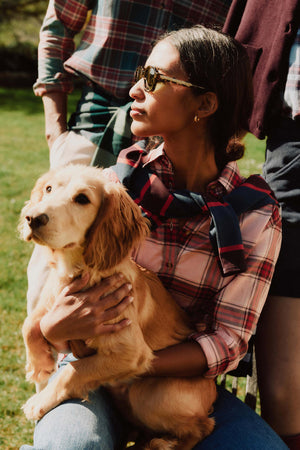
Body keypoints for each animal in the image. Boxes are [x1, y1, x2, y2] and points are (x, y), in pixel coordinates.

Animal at [18, 165, 217, 450]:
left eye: (82, 199)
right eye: (48, 189)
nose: (32, 218)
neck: (76, 270)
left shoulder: (131, 352)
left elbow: (74, 372)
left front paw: (38, 402)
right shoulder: (52, 300)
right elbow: (30, 322)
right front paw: (40, 365)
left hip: (145, 394)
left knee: (203, 426)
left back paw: (162, 444)